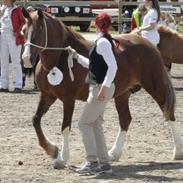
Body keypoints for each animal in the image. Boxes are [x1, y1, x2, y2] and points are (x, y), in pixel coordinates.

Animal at [21, 8, 180, 169]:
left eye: (40, 30)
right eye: (23, 30)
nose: (26, 59)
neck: (57, 61)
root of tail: (149, 44)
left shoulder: (68, 99)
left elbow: (65, 127)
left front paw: (62, 158)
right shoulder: (47, 96)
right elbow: (35, 120)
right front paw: (52, 150)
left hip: (155, 87)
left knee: (168, 113)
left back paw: (178, 151)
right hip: (122, 94)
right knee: (125, 119)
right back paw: (113, 153)